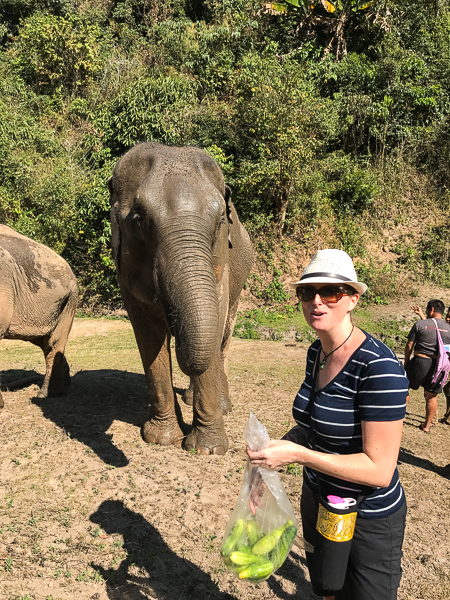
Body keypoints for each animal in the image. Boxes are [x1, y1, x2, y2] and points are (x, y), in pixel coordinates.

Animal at [108, 141, 253, 454]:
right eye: (139, 219)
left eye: (221, 220)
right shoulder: (124, 273)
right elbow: (149, 335)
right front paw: (161, 439)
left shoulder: (222, 263)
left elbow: (215, 316)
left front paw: (207, 449)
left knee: (223, 337)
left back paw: (222, 405)